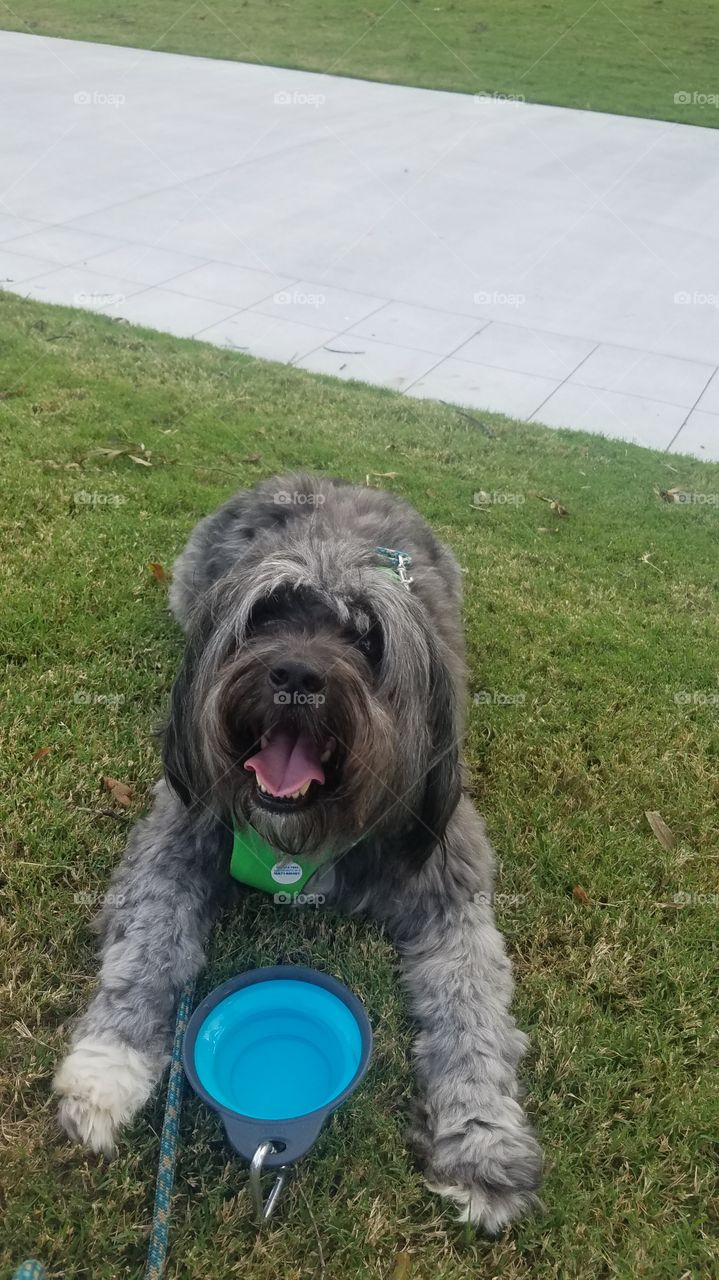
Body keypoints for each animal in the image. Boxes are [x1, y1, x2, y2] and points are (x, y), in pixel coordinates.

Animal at [54, 471, 537, 1228]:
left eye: (367, 638)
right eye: (267, 617)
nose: (295, 675)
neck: (303, 837)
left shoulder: (450, 889)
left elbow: (473, 1010)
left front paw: (482, 1145)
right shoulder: (177, 837)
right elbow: (150, 949)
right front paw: (106, 1068)